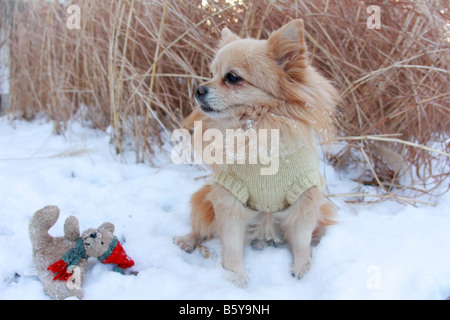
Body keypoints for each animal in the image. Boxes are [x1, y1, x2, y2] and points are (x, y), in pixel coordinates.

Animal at [175, 19, 338, 288]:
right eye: (212, 74)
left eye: (232, 77)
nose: (198, 89)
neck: (258, 127)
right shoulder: (229, 196)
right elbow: (231, 245)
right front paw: (235, 276)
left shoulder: (305, 196)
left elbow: (301, 240)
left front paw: (302, 268)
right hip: (204, 197)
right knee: (202, 229)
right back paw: (188, 240)